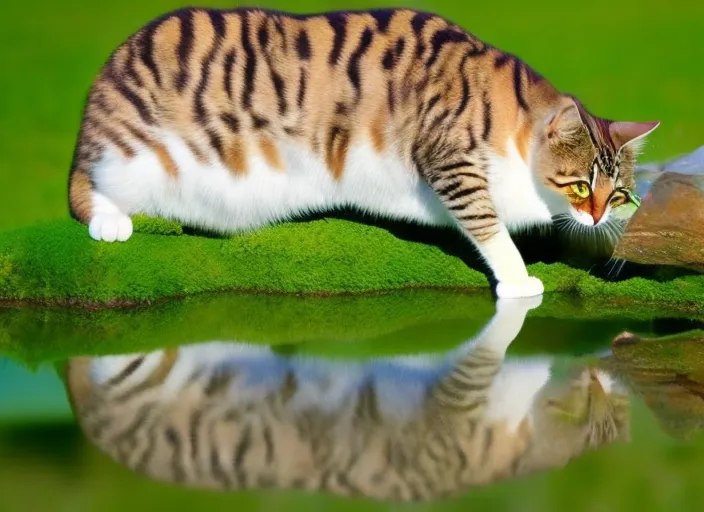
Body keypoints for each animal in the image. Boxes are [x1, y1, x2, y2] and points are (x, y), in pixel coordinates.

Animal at [67, 6, 660, 298]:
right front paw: (518, 280)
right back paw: (109, 221)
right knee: (85, 191)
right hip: (129, 155)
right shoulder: (451, 159)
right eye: (580, 184)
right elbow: (487, 224)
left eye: (618, 193)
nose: (598, 215)